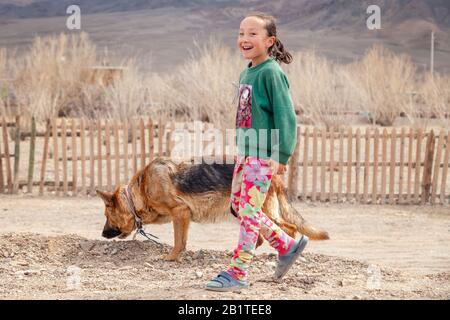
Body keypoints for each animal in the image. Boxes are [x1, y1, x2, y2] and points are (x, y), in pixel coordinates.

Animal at [96, 157, 328, 260]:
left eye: (107, 215)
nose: (102, 234)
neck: (138, 193)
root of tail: (275, 176)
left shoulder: (179, 212)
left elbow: (178, 241)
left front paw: (171, 257)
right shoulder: (183, 217)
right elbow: (183, 240)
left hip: (258, 212)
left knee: (289, 228)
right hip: (242, 212)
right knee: (263, 236)